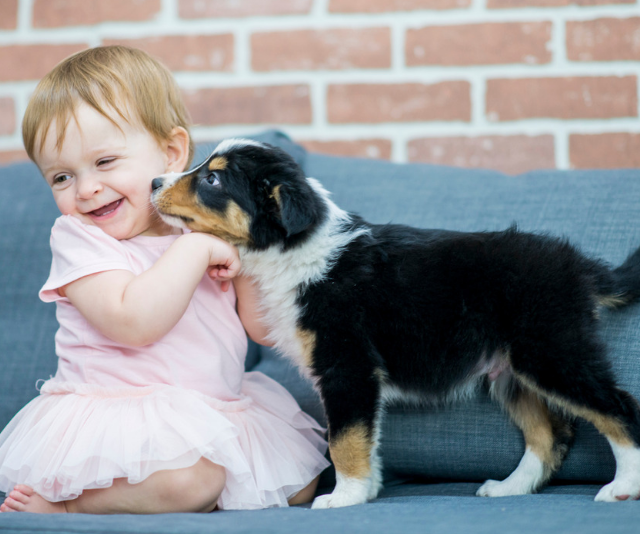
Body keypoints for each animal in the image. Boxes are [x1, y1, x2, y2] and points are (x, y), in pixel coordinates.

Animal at [151, 139, 640, 510]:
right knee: (549, 435)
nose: (155, 181)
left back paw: (623, 486)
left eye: (212, 179)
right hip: (512, 370)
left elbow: (344, 438)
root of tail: (580, 266)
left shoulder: (347, 364)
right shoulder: (357, 377)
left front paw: (343, 497)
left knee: (618, 406)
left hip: (550, 349)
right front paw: (365, 490)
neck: (293, 250)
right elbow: (365, 438)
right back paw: (508, 488)